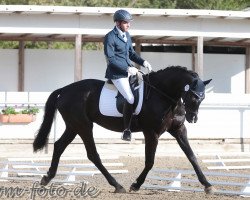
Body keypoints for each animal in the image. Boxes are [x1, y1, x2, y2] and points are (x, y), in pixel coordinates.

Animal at [32, 65, 214, 194]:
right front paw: (136, 185)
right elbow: (150, 161)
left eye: (203, 97)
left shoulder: (178, 130)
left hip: (73, 126)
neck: (163, 95)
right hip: (83, 126)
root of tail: (64, 90)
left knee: (59, 146)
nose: (192, 118)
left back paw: (47, 178)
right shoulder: (151, 133)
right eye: (193, 96)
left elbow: (192, 156)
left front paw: (207, 185)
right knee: (92, 154)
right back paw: (117, 185)